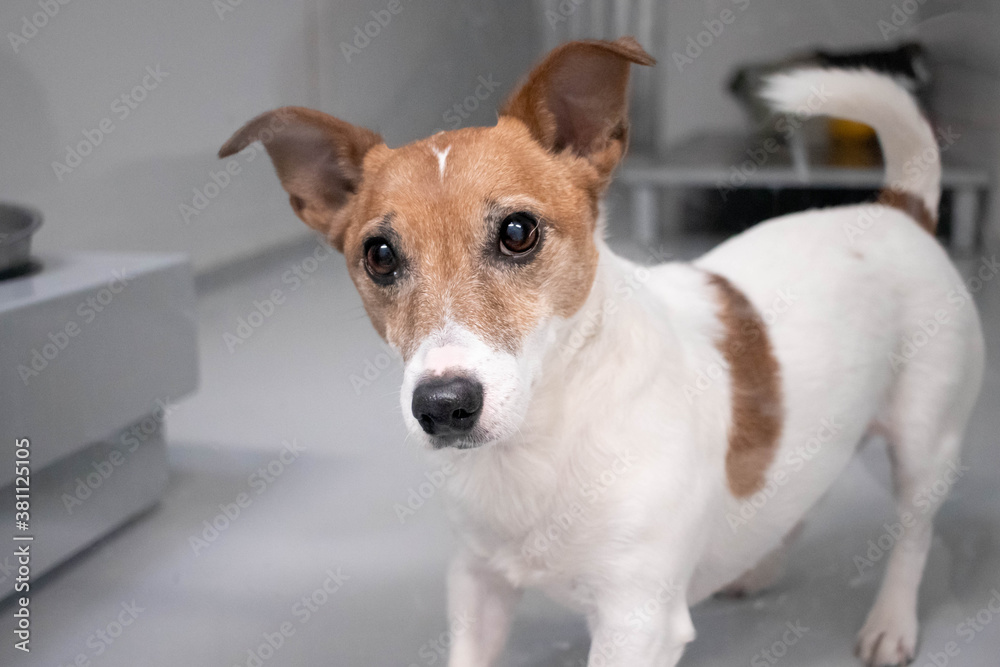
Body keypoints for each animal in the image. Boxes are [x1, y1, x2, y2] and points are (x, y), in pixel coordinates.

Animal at [221, 37, 984, 667]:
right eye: (379, 256)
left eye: (518, 232)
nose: (442, 405)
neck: (541, 441)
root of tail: (896, 208)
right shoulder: (475, 584)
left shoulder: (635, 622)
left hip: (925, 443)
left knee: (913, 537)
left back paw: (891, 623)